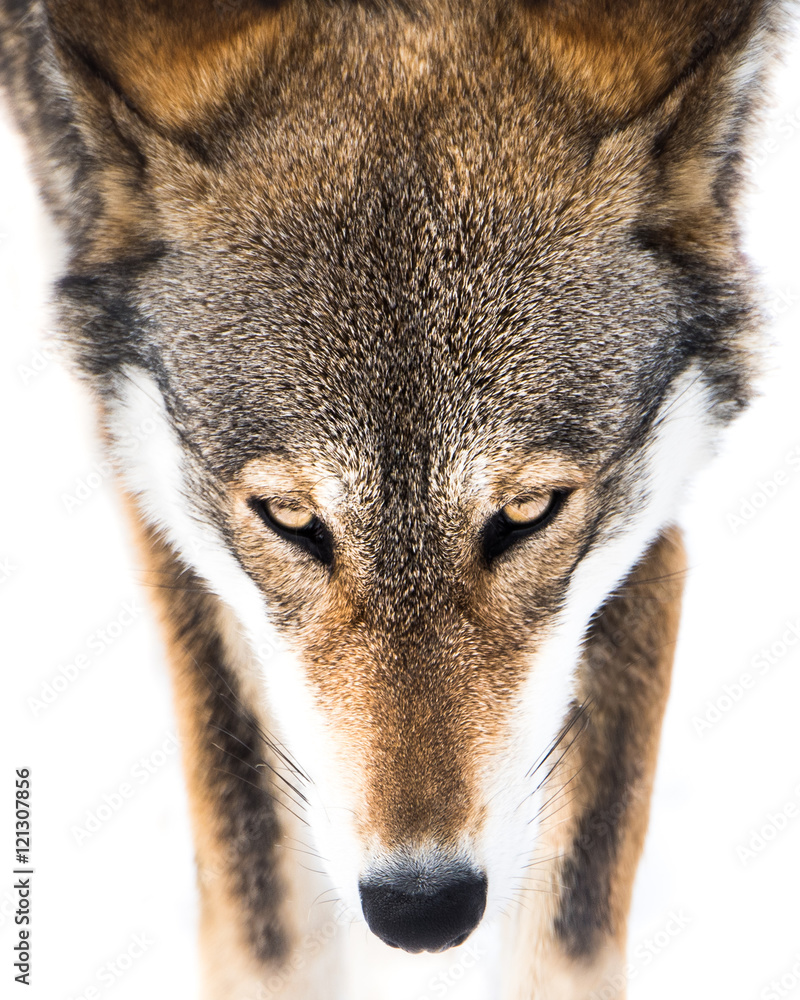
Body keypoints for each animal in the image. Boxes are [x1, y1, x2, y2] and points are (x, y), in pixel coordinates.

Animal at [0, 1, 793, 997]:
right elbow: (264, 923)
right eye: (291, 521)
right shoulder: (167, 515)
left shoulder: (636, 540)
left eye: (527, 514)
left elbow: (569, 930)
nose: (423, 910)